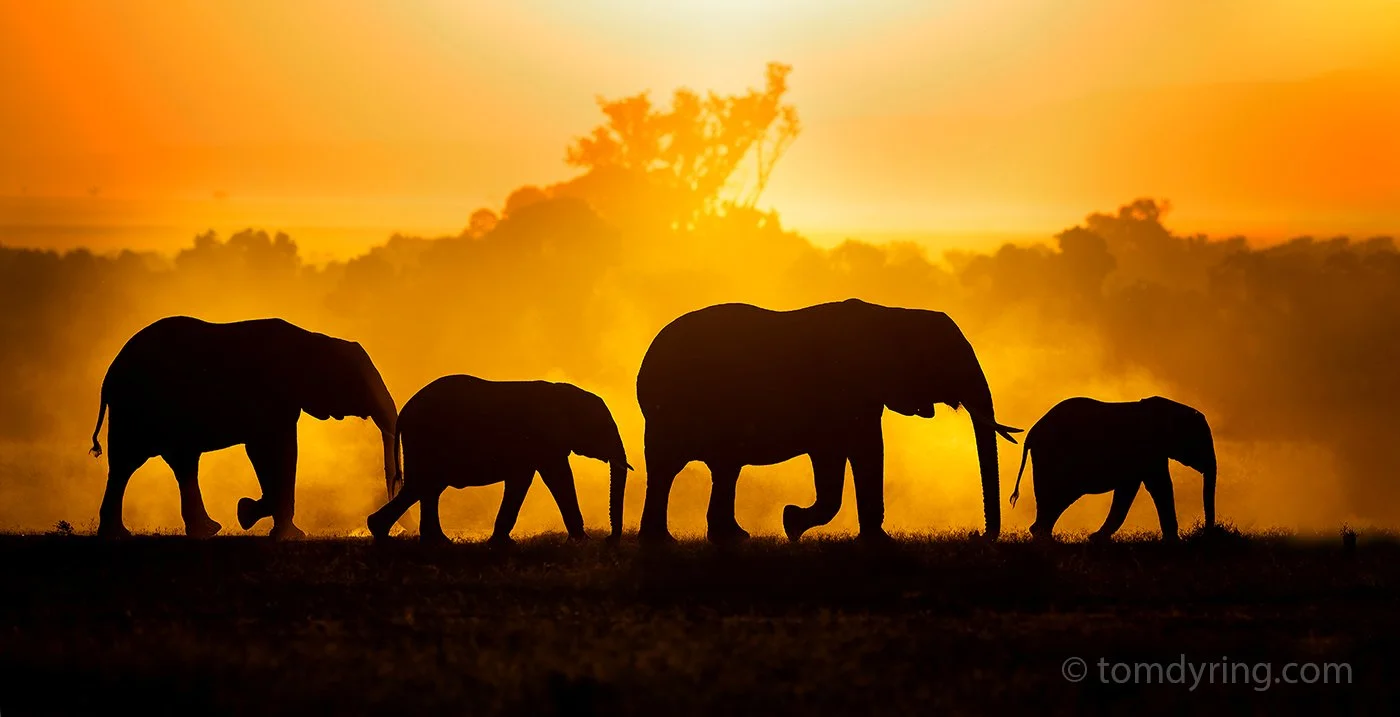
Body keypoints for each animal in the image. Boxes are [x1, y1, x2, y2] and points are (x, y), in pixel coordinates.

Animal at [90, 316, 399, 539]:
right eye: (360, 382)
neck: (313, 339)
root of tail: (108, 377)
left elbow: (277, 449)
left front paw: (257, 518)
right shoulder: (270, 396)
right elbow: (271, 449)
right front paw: (255, 517)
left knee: (177, 464)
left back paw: (204, 531)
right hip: (136, 408)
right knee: (127, 464)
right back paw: (120, 535)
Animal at [366, 375, 631, 545]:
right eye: (604, 429)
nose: (609, 539)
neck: (564, 393)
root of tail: (404, 412)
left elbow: (530, 480)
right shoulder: (542, 439)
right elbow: (553, 478)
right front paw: (582, 541)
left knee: (427, 488)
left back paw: (434, 541)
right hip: (425, 439)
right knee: (422, 485)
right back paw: (386, 533)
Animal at [634, 299, 1023, 545]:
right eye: (946, 359)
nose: (976, 535)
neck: (894, 314)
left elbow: (839, 458)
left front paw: (793, 523)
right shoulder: (847, 390)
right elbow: (864, 451)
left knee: (723, 469)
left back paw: (728, 539)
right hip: (670, 411)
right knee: (668, 468)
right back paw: (662, 543)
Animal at [1008, 396, 1217, 542]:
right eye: (1200, 442)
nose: (1205, 534)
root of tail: (1030, 434)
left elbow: (1129, 489)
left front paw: (1095, 539)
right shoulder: (1149, 448)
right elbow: (1159, 486)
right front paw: (1174, 542)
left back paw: (1042, 536)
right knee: (1059, 494)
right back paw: (1044, 537)